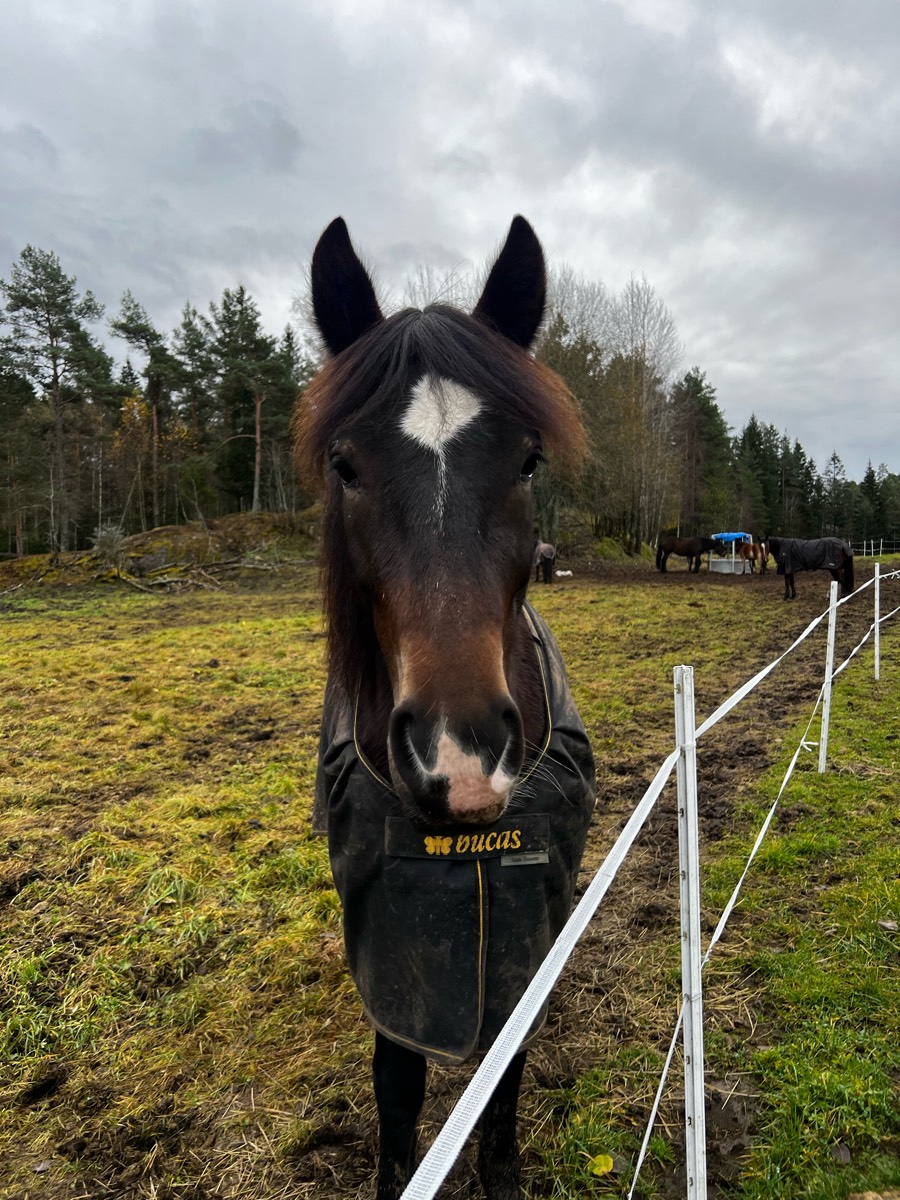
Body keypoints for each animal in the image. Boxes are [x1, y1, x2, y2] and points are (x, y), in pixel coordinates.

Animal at [296, 216, 596, 1200]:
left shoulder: (519, 945)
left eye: (527, 461)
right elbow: (397, 1087)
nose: (458, 756)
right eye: (347, 466)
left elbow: (503, 1067)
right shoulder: (394, 953)